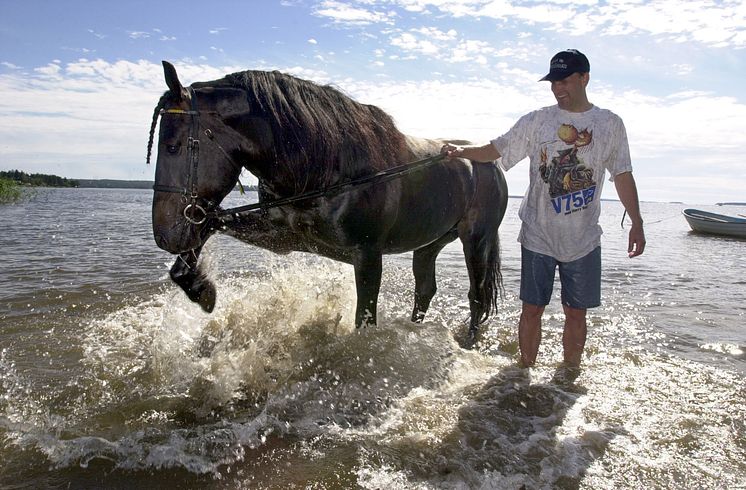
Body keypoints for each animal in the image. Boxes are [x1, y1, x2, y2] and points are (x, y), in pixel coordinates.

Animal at [145, 61, 506, 346]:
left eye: (173, 146)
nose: (165, 234)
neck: (327, 166)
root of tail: (488, 162)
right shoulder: (283, 237)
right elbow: (208, 224)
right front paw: (201, 290)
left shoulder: (367, 255)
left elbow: (364, 320)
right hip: (430, 242)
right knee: (425, 290)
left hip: (477, 240)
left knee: (477, 295)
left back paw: (469, 340)